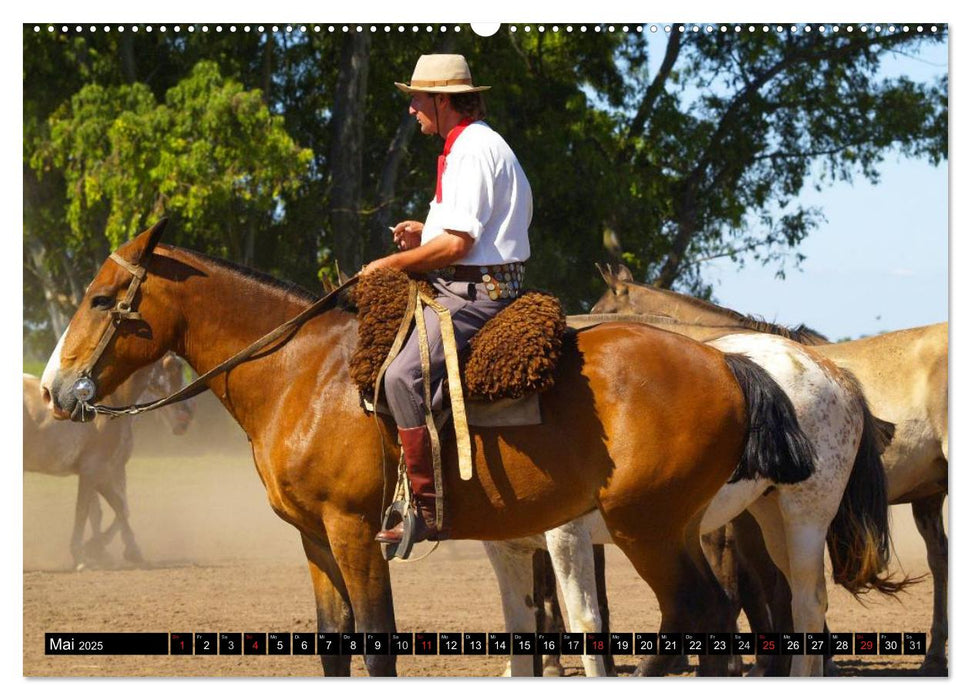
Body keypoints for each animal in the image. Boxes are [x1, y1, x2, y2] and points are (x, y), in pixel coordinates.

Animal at [41, 221, 816, 676]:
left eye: (104, 299)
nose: (53, 388)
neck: (304, 374)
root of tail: (726, 363)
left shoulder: (354, 533)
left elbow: (376, 641)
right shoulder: (314, 539)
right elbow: (333, 643)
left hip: (644, 528)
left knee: (701, 614)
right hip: (674, 527)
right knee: (712, 616)